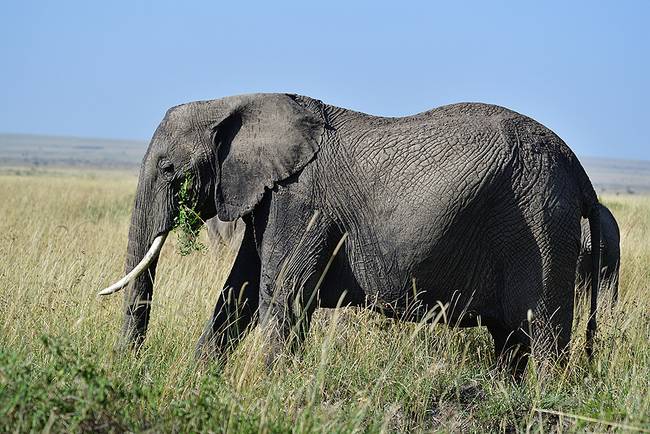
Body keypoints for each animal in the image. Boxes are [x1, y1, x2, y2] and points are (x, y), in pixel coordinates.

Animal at [98, 92, 600, 376]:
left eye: (168, 169)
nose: (127, 368)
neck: (233, 102)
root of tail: (578, 171)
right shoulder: (270, 197)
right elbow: (238, 295)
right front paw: (198, 383)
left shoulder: (301, 201)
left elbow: (280, 295)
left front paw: (269, 393)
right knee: (510, 342)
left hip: (540, 224)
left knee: (545, 337)